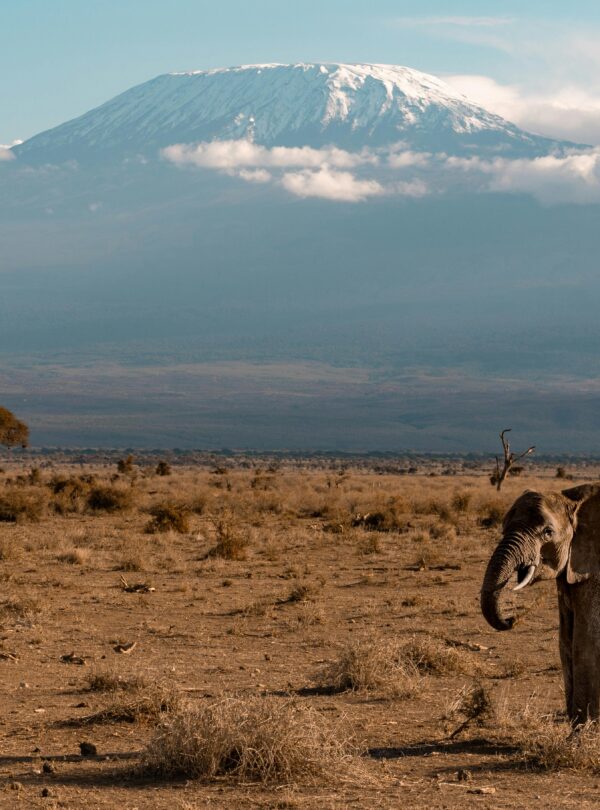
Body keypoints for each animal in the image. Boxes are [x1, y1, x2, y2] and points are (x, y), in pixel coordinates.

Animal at [480, 483, 600, 724]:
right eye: (503, 527)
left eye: (548, 533)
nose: (512, 618)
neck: (574, 500)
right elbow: (565, 641)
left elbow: (586, 641)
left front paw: (583, 729)